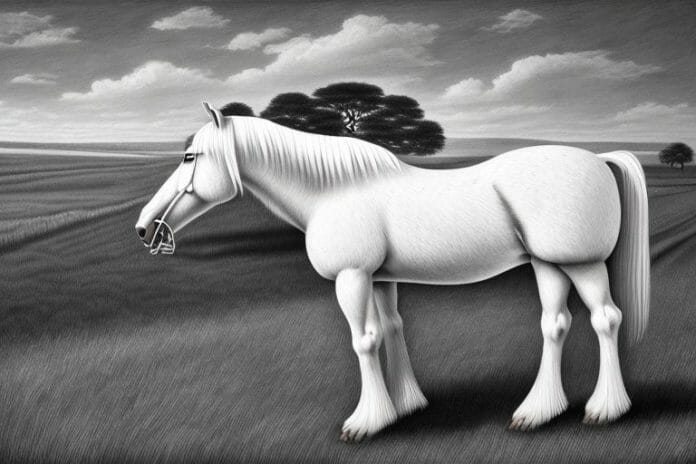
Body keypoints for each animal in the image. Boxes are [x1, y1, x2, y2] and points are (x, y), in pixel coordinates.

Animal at [135, 102, 650, 442]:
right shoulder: (381, 280)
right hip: (549, 265)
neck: (335, 192)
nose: (145, 228)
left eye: (190, 158)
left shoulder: (353, 278)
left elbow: (364, 341)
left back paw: (606, 409)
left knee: (605, 320)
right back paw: (539, 412)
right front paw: (404, 406)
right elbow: (392, 329)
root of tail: (597, 158)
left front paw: (367, 422)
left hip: (582, 263)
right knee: (555, 324)